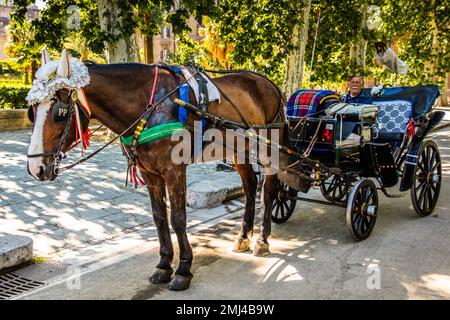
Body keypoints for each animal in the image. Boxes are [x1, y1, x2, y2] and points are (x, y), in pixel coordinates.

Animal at [25, 48, 284, 292]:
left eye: (60, 113)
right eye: (31, 112)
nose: (35, 168)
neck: (150, 105)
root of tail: (269, 83)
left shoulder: (174, 170)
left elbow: (177, 218)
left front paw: (183, 270)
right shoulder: (149, 172)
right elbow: (159, 218)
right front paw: (163, 265)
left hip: (269, 147)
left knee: (269, 190)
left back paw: (262, 240)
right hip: (240, 150)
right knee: (250, 187)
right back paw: (243, 236)